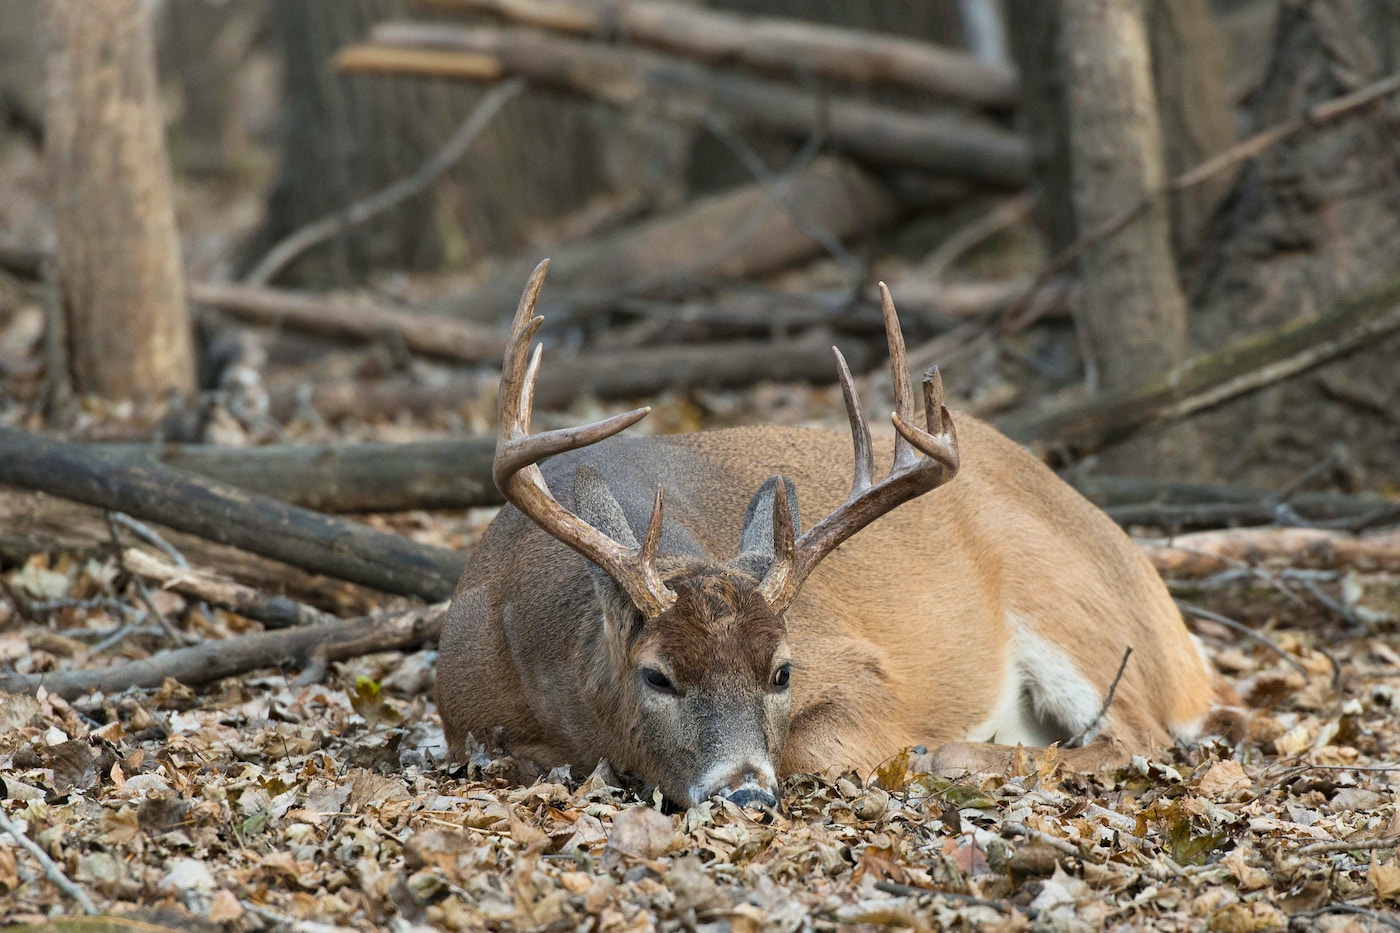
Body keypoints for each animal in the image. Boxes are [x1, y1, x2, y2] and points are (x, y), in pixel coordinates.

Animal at [439, 259, 1237, 806]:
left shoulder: (861, 668)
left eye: (783, 671)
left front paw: (918, 752)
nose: (744, 792)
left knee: (1140, 735)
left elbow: (821, 747)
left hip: (1070, 599)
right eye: (657, 674)